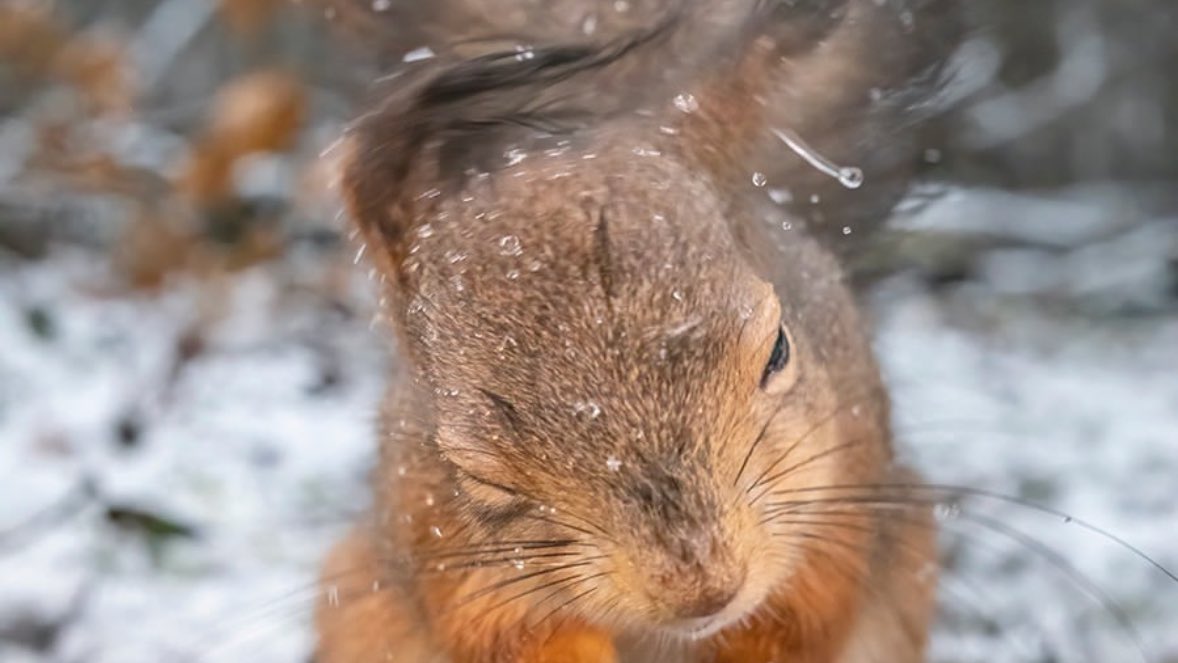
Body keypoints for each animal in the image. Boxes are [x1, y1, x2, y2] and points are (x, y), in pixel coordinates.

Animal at [314, 1, 960, 661]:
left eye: (778, 350)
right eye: (479, 474)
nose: (705, 589)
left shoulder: (848, 489)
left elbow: (810, 609)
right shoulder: (440, 551)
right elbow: (501, 635)